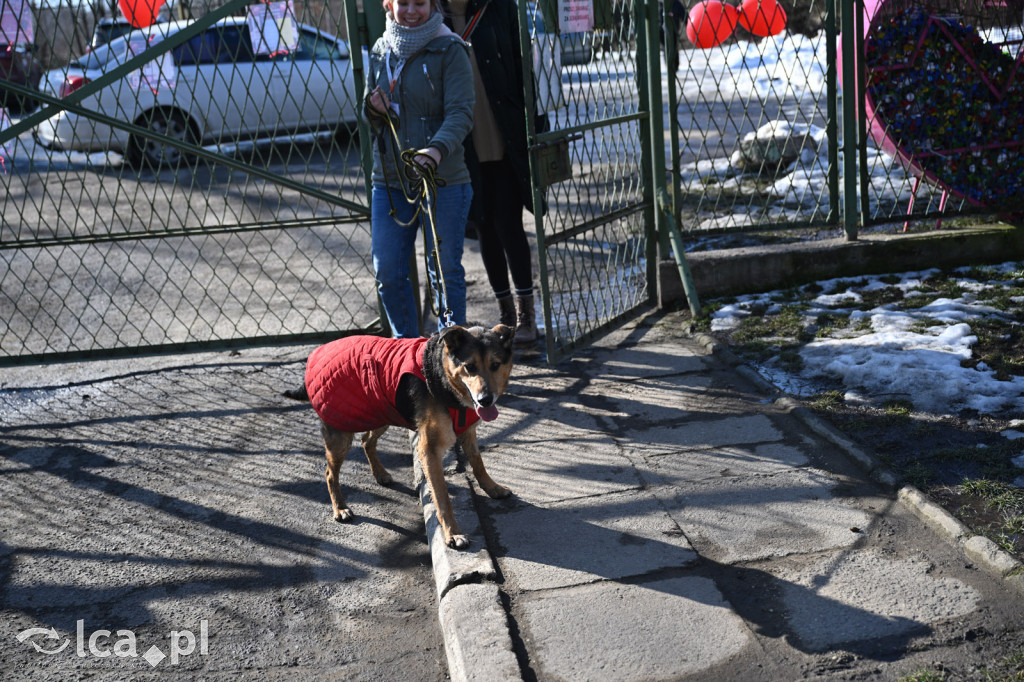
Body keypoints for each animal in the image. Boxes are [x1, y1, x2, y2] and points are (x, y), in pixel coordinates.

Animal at [286, 323, 512, 548]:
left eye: (495, 365)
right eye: (470, 367)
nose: (485, 400)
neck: (442, 377)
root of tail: (318, 351)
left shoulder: (467, 432)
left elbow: (478, 464)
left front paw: (492, 488)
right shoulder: (428, 450)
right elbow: (442, 498)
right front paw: (453, 533)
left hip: (382, 412)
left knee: (366, 441)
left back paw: (380, 474)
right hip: (341, 435)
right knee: (330, 473)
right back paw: (340, 508)